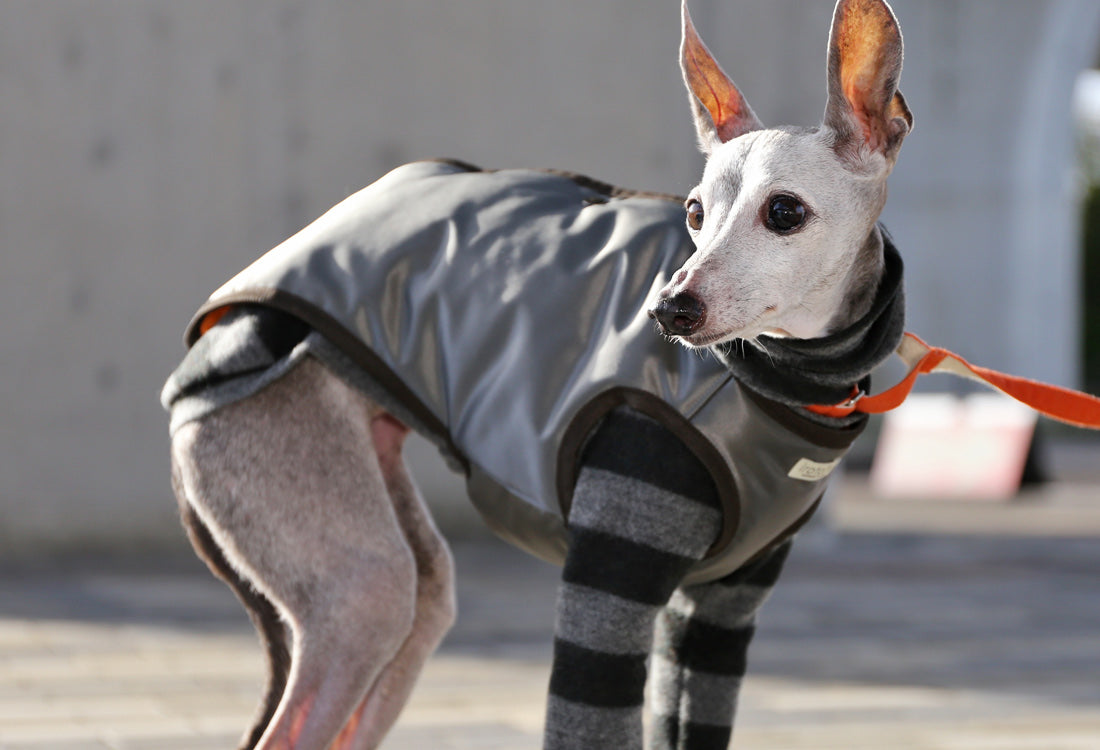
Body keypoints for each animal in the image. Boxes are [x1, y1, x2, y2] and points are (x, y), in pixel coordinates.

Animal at [167, 1, 910, 747]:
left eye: (785, 211)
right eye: (696, 212)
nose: (668, 309)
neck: (786, 385)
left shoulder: (718, 613)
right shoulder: (609, 584)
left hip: (398, 571)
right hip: (356, 578)